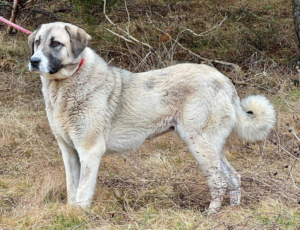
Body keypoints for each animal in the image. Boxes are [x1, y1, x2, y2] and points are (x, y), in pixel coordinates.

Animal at [27, 22, 274, 213]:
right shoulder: (69, 152)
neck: (66, 85)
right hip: (211, 146)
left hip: (199, 144)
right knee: (233, 177)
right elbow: (72, 189)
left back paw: (212, 212)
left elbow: (83, 191)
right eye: (37, 42)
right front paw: (71, 212)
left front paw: (80, 215)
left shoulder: (90, 151)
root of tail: (224, 80)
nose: (34, 61)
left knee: (219, 181)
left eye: (55, 43)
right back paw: (233, 208)